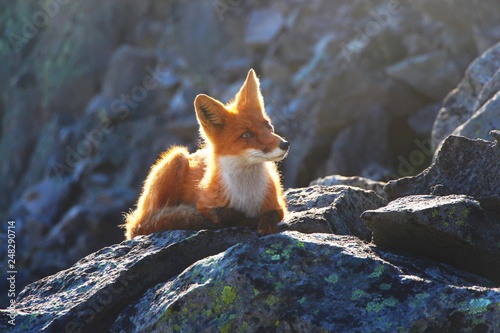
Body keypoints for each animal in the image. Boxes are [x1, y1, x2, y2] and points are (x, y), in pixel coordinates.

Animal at [123, 68, 292, 239]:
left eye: (268, 126)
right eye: (246, 135)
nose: (285, 144)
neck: (246, 195)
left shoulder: (279, 205)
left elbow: (274, 214)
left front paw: (265, 224)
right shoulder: (205, 204)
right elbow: (225, 215)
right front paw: (246, 220)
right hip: (177, 157)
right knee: (144, 225)